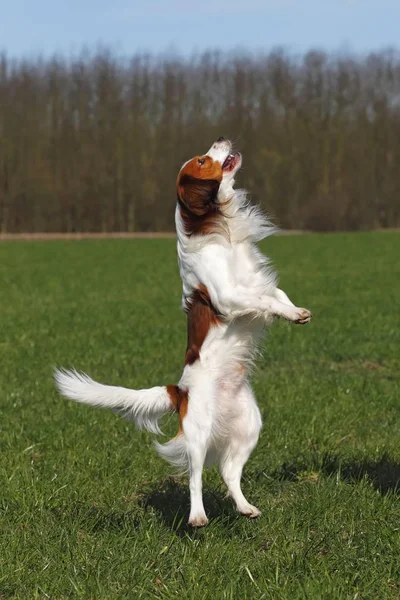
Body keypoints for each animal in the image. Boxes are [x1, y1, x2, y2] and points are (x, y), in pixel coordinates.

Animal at [54, 138, 310, 528]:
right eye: (203, 160)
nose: (221, 138)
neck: (221, 230)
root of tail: (180, 390)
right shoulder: (229, 295)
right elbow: (265, 300)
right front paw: (291, 313)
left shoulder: (256, 281)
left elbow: (276, 295)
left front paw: (296, 312)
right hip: (199, 432)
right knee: (195, 476)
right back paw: (198, 516)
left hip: (249, 426)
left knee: (229, 474)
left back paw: (245, 507)